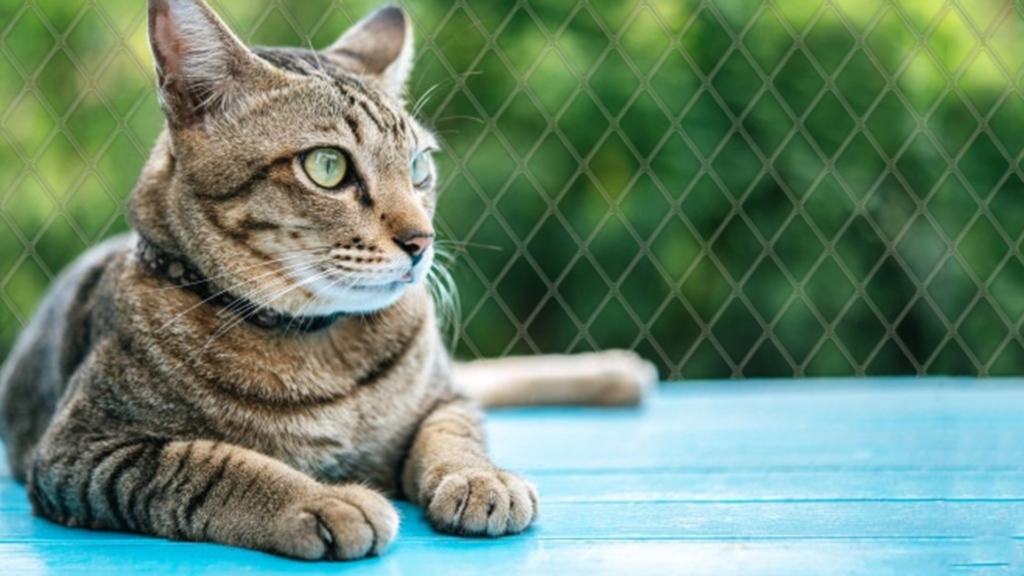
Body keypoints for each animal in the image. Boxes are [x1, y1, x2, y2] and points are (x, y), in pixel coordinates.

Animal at [0, 0, 655, 557]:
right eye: (327, 166)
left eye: (418, 167)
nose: (422, 241)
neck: (323, 347)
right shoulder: (83, 450)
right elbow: (211, 464)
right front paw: (320, 500)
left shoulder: (444, 397)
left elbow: (452, 431)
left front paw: (479, 477)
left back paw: (614, 374)